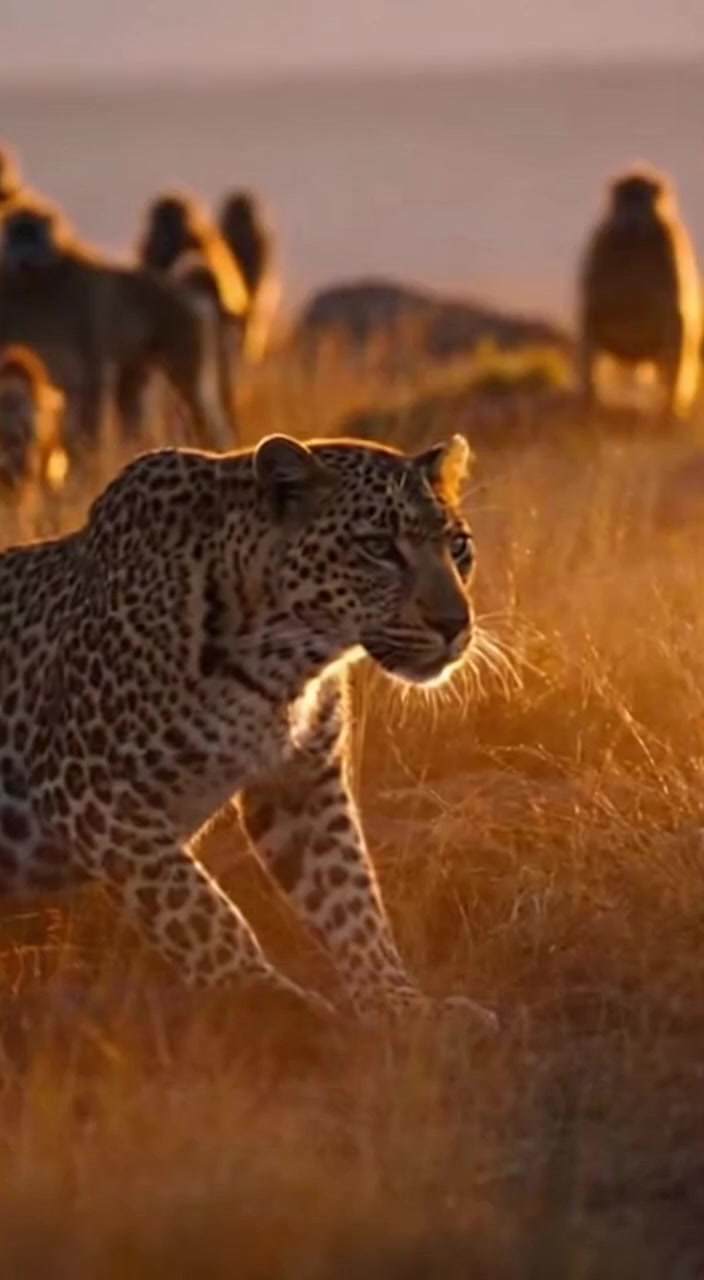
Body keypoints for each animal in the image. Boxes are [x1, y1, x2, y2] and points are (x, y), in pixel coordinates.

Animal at [0, 430, 496, 1031]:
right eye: (378, 546)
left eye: (459, 546)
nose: (454, 624)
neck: (289, 660)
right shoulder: (88, 790)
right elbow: (195, 906)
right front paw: (272, 1001)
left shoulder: (302, 786)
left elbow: (351, 899)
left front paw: (399, 1005)